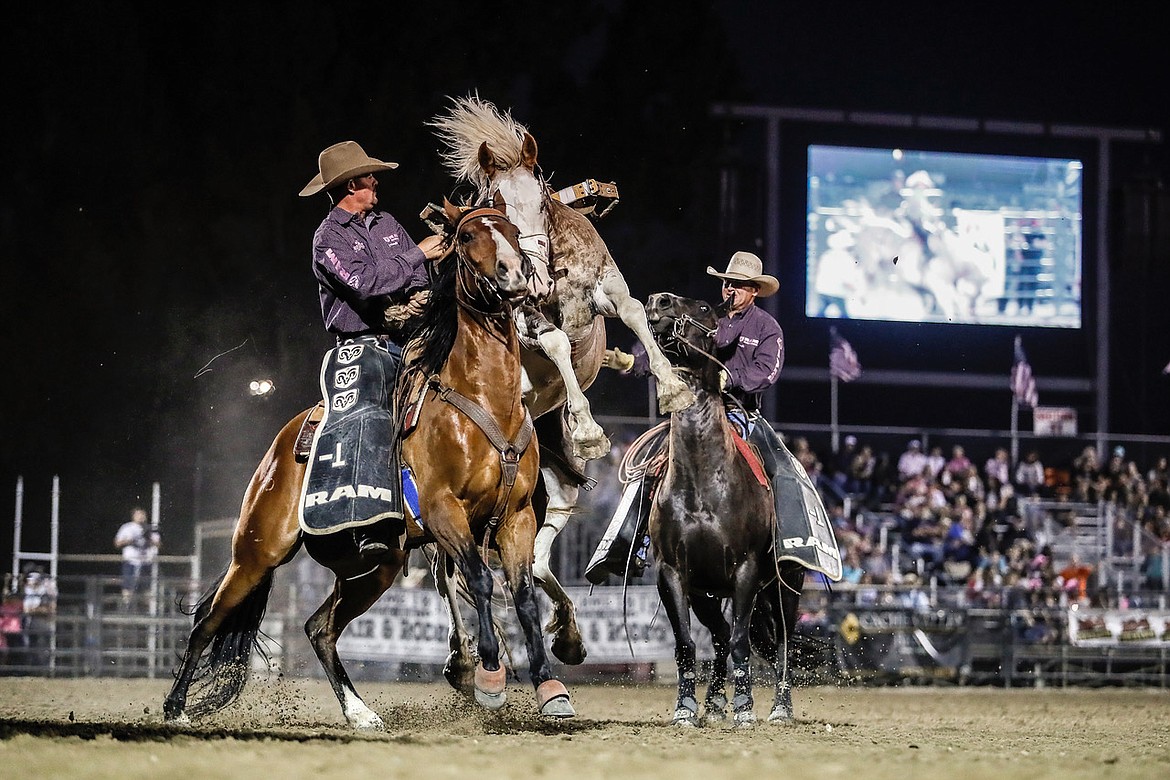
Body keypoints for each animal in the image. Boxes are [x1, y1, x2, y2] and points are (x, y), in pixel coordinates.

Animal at [161, 199, 575, 725]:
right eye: (466, 237)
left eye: (512, 231)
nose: (515, 273)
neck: (485, 400)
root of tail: (281, 447)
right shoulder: (444, 512)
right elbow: (481, 581)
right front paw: (489, 681)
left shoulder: (516, 516)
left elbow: (521, 593)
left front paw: (550, 688)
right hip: (256, 552)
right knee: (205, 621)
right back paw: (176, 708)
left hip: (373, 565)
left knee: (319, 628)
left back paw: (359, 713)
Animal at [641, 291, 804, 725]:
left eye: (702, 308)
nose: (658, 301)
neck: (703, 482)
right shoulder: (673, 573)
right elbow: (686, 643)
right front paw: (685, 707)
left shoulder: (745, 570)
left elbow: (741, 640)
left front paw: (745, 707)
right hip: (707, 593)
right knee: (716, 637)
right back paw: (714, 702)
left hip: (786, 586)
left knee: (782, 642)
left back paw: (780, 707)